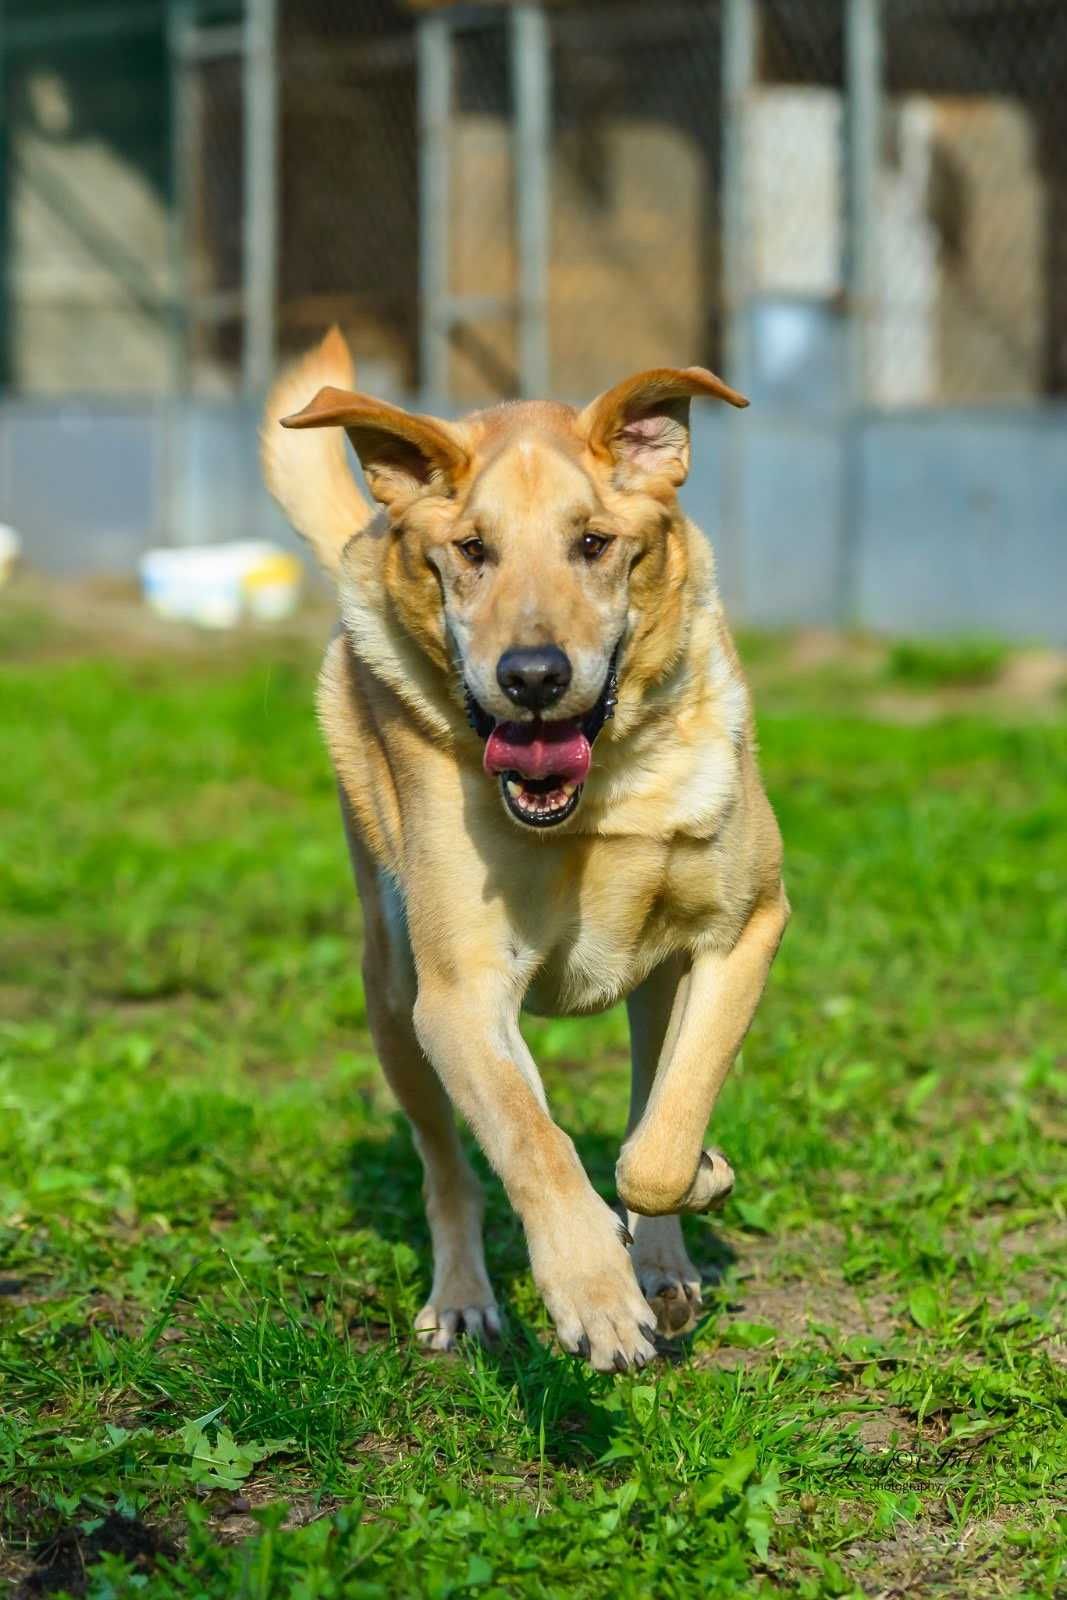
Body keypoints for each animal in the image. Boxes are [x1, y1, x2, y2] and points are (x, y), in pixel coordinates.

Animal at [262, 331, 790, 1369]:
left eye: (594, 543)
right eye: (472, 551)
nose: (534, 676)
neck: (596, 803)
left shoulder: (743, 931)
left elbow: (659, 1142)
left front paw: (695, 1184)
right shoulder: (462, 999)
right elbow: (532, 1142)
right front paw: (592, 1294)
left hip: (654, 985)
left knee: (644, 1098)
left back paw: (662, 1264)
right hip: (394, 1002)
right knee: (453, 1166)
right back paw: (467, 1298)